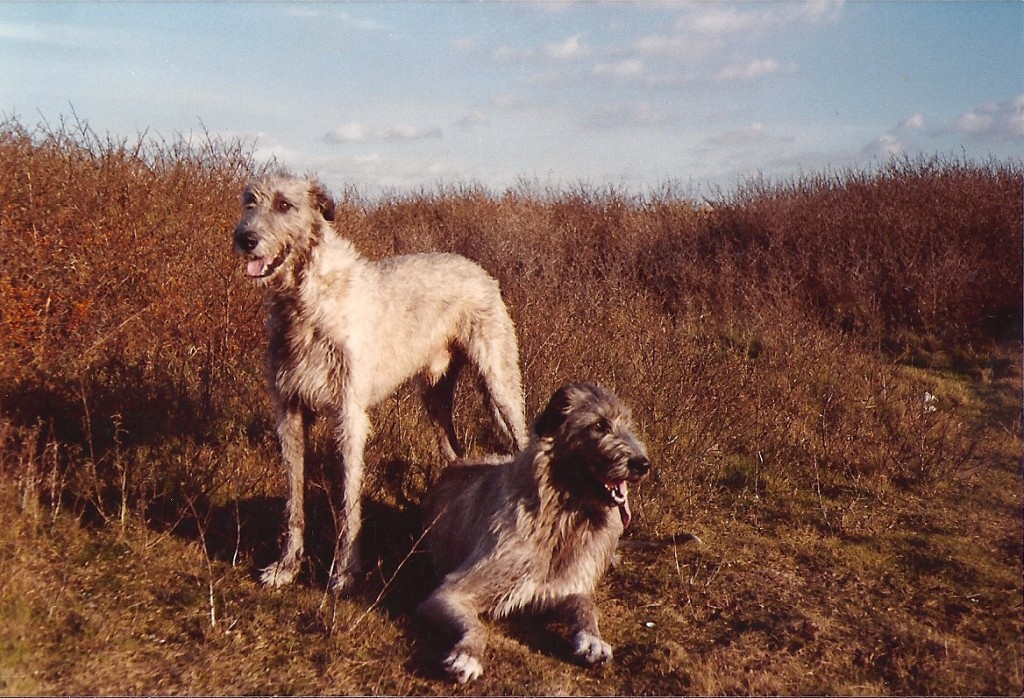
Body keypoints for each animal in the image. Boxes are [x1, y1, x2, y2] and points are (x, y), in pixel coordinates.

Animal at [233, 170, 528, 589]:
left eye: (285, 205)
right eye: (249, 202)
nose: (245, 239)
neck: (306, 300)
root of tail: (478, 268)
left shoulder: (350, 415)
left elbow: (348, 499)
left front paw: (344, 572)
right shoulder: (288, 412)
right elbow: (293, 498)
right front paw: (286, 566)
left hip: (499, 380)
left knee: (520, 434)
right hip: (435, 394)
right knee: (452, 450)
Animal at [415, 380, 647, 679]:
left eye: (627, 424)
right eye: (600, 425)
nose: (644, 464)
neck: (560, 519)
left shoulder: (559, 589)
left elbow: (585, 603)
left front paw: (592, 639)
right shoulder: (451, 592)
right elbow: (477, 624)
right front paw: (468, 654)